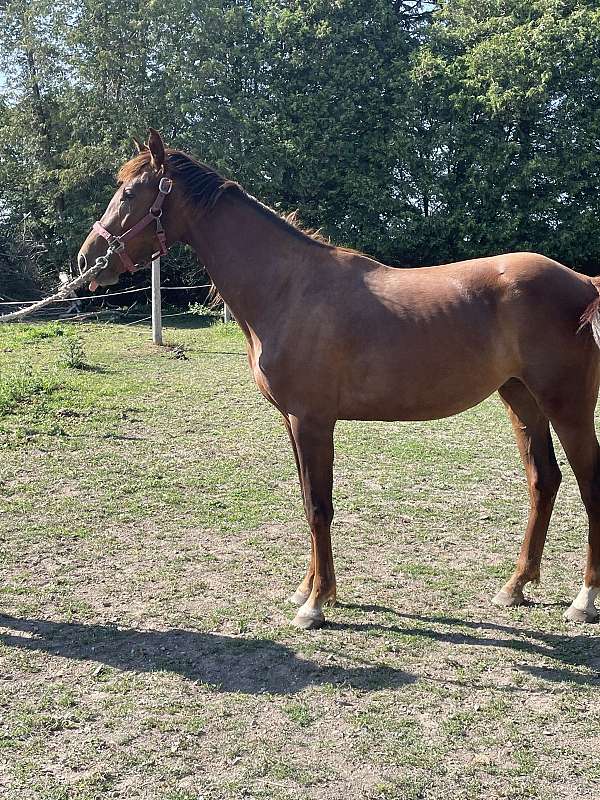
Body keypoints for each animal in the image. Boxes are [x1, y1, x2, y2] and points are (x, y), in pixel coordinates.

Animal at [78, 128, 600, 630]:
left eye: (129, 193)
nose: (87, 260)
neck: (288, 289)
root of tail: (583, 281)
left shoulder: (312, 420)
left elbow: (318, 506)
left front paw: (315, 605)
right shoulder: (292, 421)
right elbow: (309, 498)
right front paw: (309, 589)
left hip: (568, 407)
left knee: (587, 484)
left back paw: (584, 600)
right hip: (521, 398)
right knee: (544, 480)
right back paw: (515, 586)